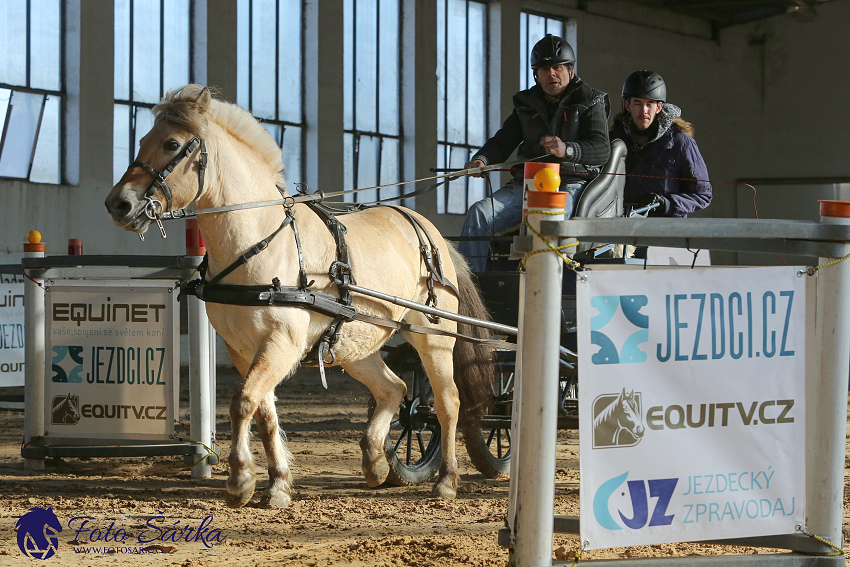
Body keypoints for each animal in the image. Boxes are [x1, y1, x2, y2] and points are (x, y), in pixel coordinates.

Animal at [103, 85, 494, 510]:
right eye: (143, 138)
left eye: (172, 143)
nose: (118, 203)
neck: (258, 241)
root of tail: (429, 231)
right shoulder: (244, 349)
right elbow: (263, 412)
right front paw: (275, 484)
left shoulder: (281, 343)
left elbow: (243, 402)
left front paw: (240, 480)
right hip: (355, 344)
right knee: (394, 389)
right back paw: (375, 463)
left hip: (433, 336)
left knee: (447, 400)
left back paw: (446, 481)